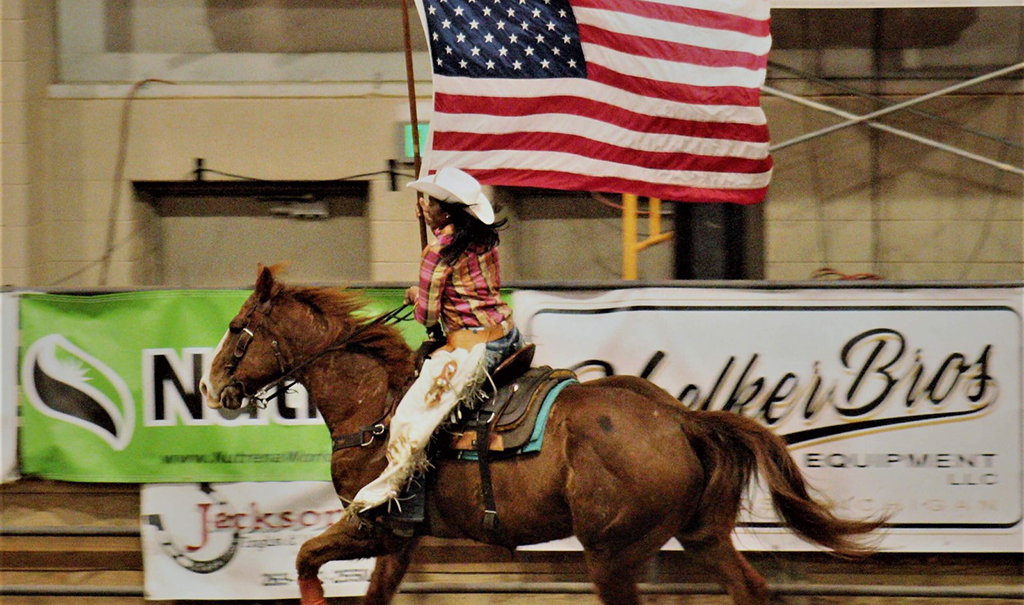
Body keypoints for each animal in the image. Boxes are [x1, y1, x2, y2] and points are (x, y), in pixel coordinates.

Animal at [199, 268, 888, 605]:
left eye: (237, 329)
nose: (211, 387)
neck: (373, 403)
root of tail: (679, 418)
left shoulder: (373, 526)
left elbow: (303, 557)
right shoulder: (400, 541)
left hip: (611, 552)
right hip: (702, 536)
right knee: (751, 590)